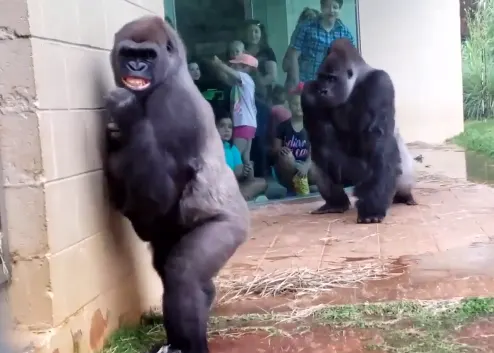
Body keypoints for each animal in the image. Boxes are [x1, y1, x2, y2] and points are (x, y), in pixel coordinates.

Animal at [104, 15, 251, 350]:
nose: (136, 67)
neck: (173, 72)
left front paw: (127, 111)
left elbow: (160, 196)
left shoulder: (173, 108)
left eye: (148, 56)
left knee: (183, 274)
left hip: (231, 227)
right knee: (173, 269)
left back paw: (187, 344)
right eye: (129, 53)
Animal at [302, 37, 414, 223]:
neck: (356, 81)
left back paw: (405, 196)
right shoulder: (310, 91)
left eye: (331, 78)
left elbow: (379, 145)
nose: (323, 90)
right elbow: (323, 144)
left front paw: (372, 210)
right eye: (321, 78)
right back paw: (336, 204)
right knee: (319, 161)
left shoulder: (380, 83)